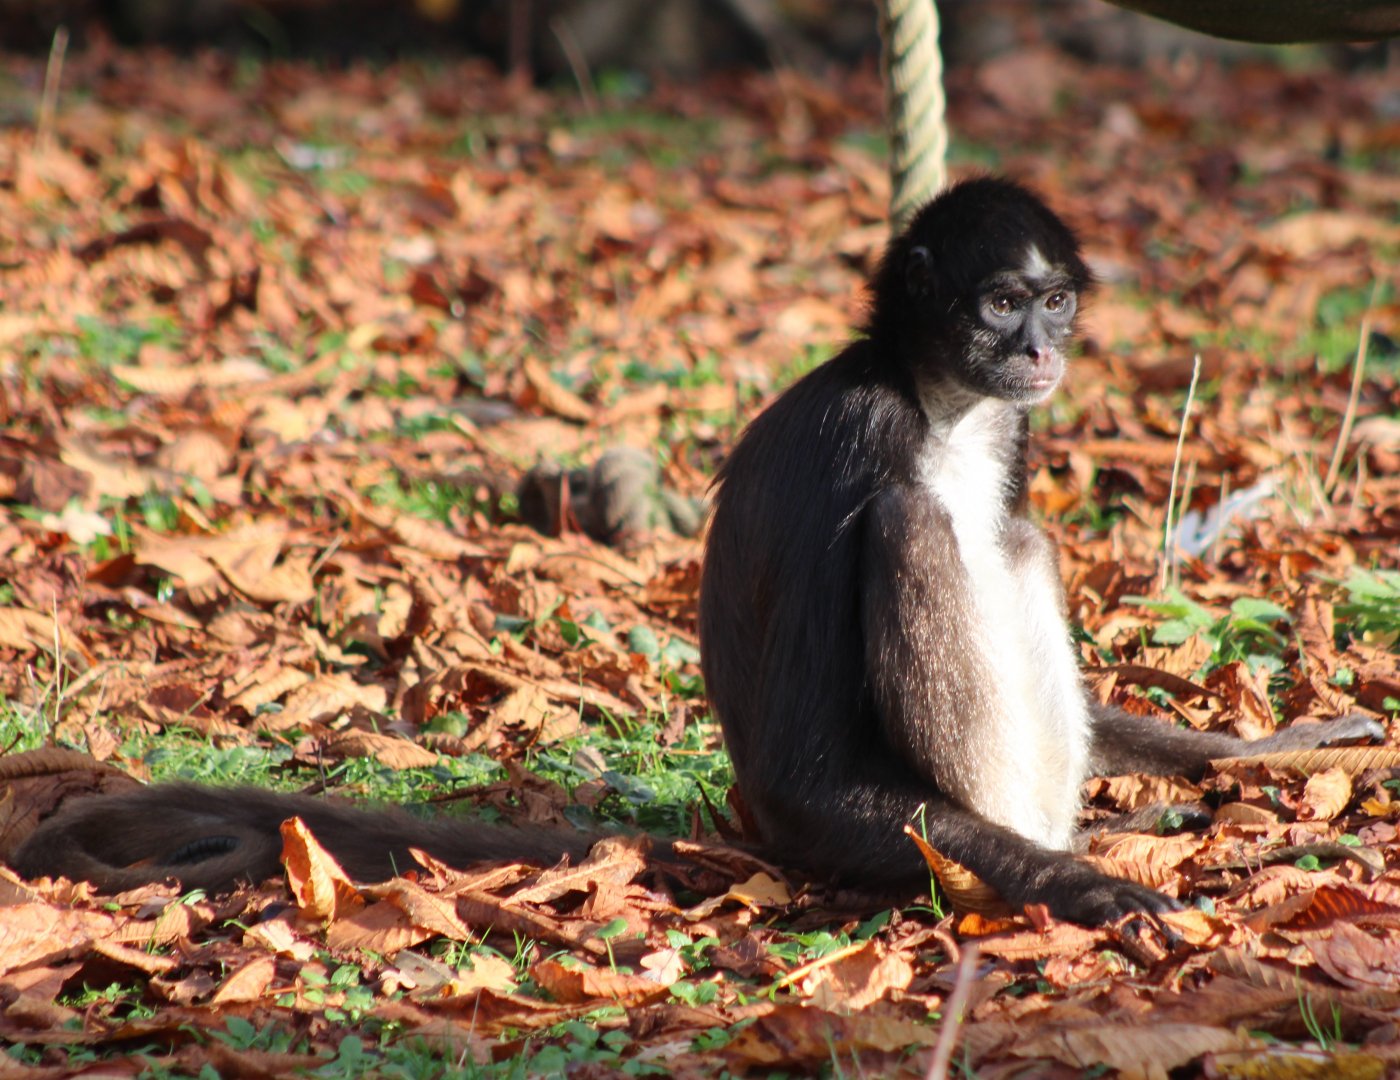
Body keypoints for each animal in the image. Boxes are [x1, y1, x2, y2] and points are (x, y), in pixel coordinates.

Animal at [11, 177, 1382, 923]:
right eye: (1000, 303)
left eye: (1052, 303)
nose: (1039, 348)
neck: (935, 401)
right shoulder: (860, 430)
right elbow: (813, 755)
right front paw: (1086, 890)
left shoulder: (1011, 430)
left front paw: (1260, 750)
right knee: (918, 527)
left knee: (1012, 530)